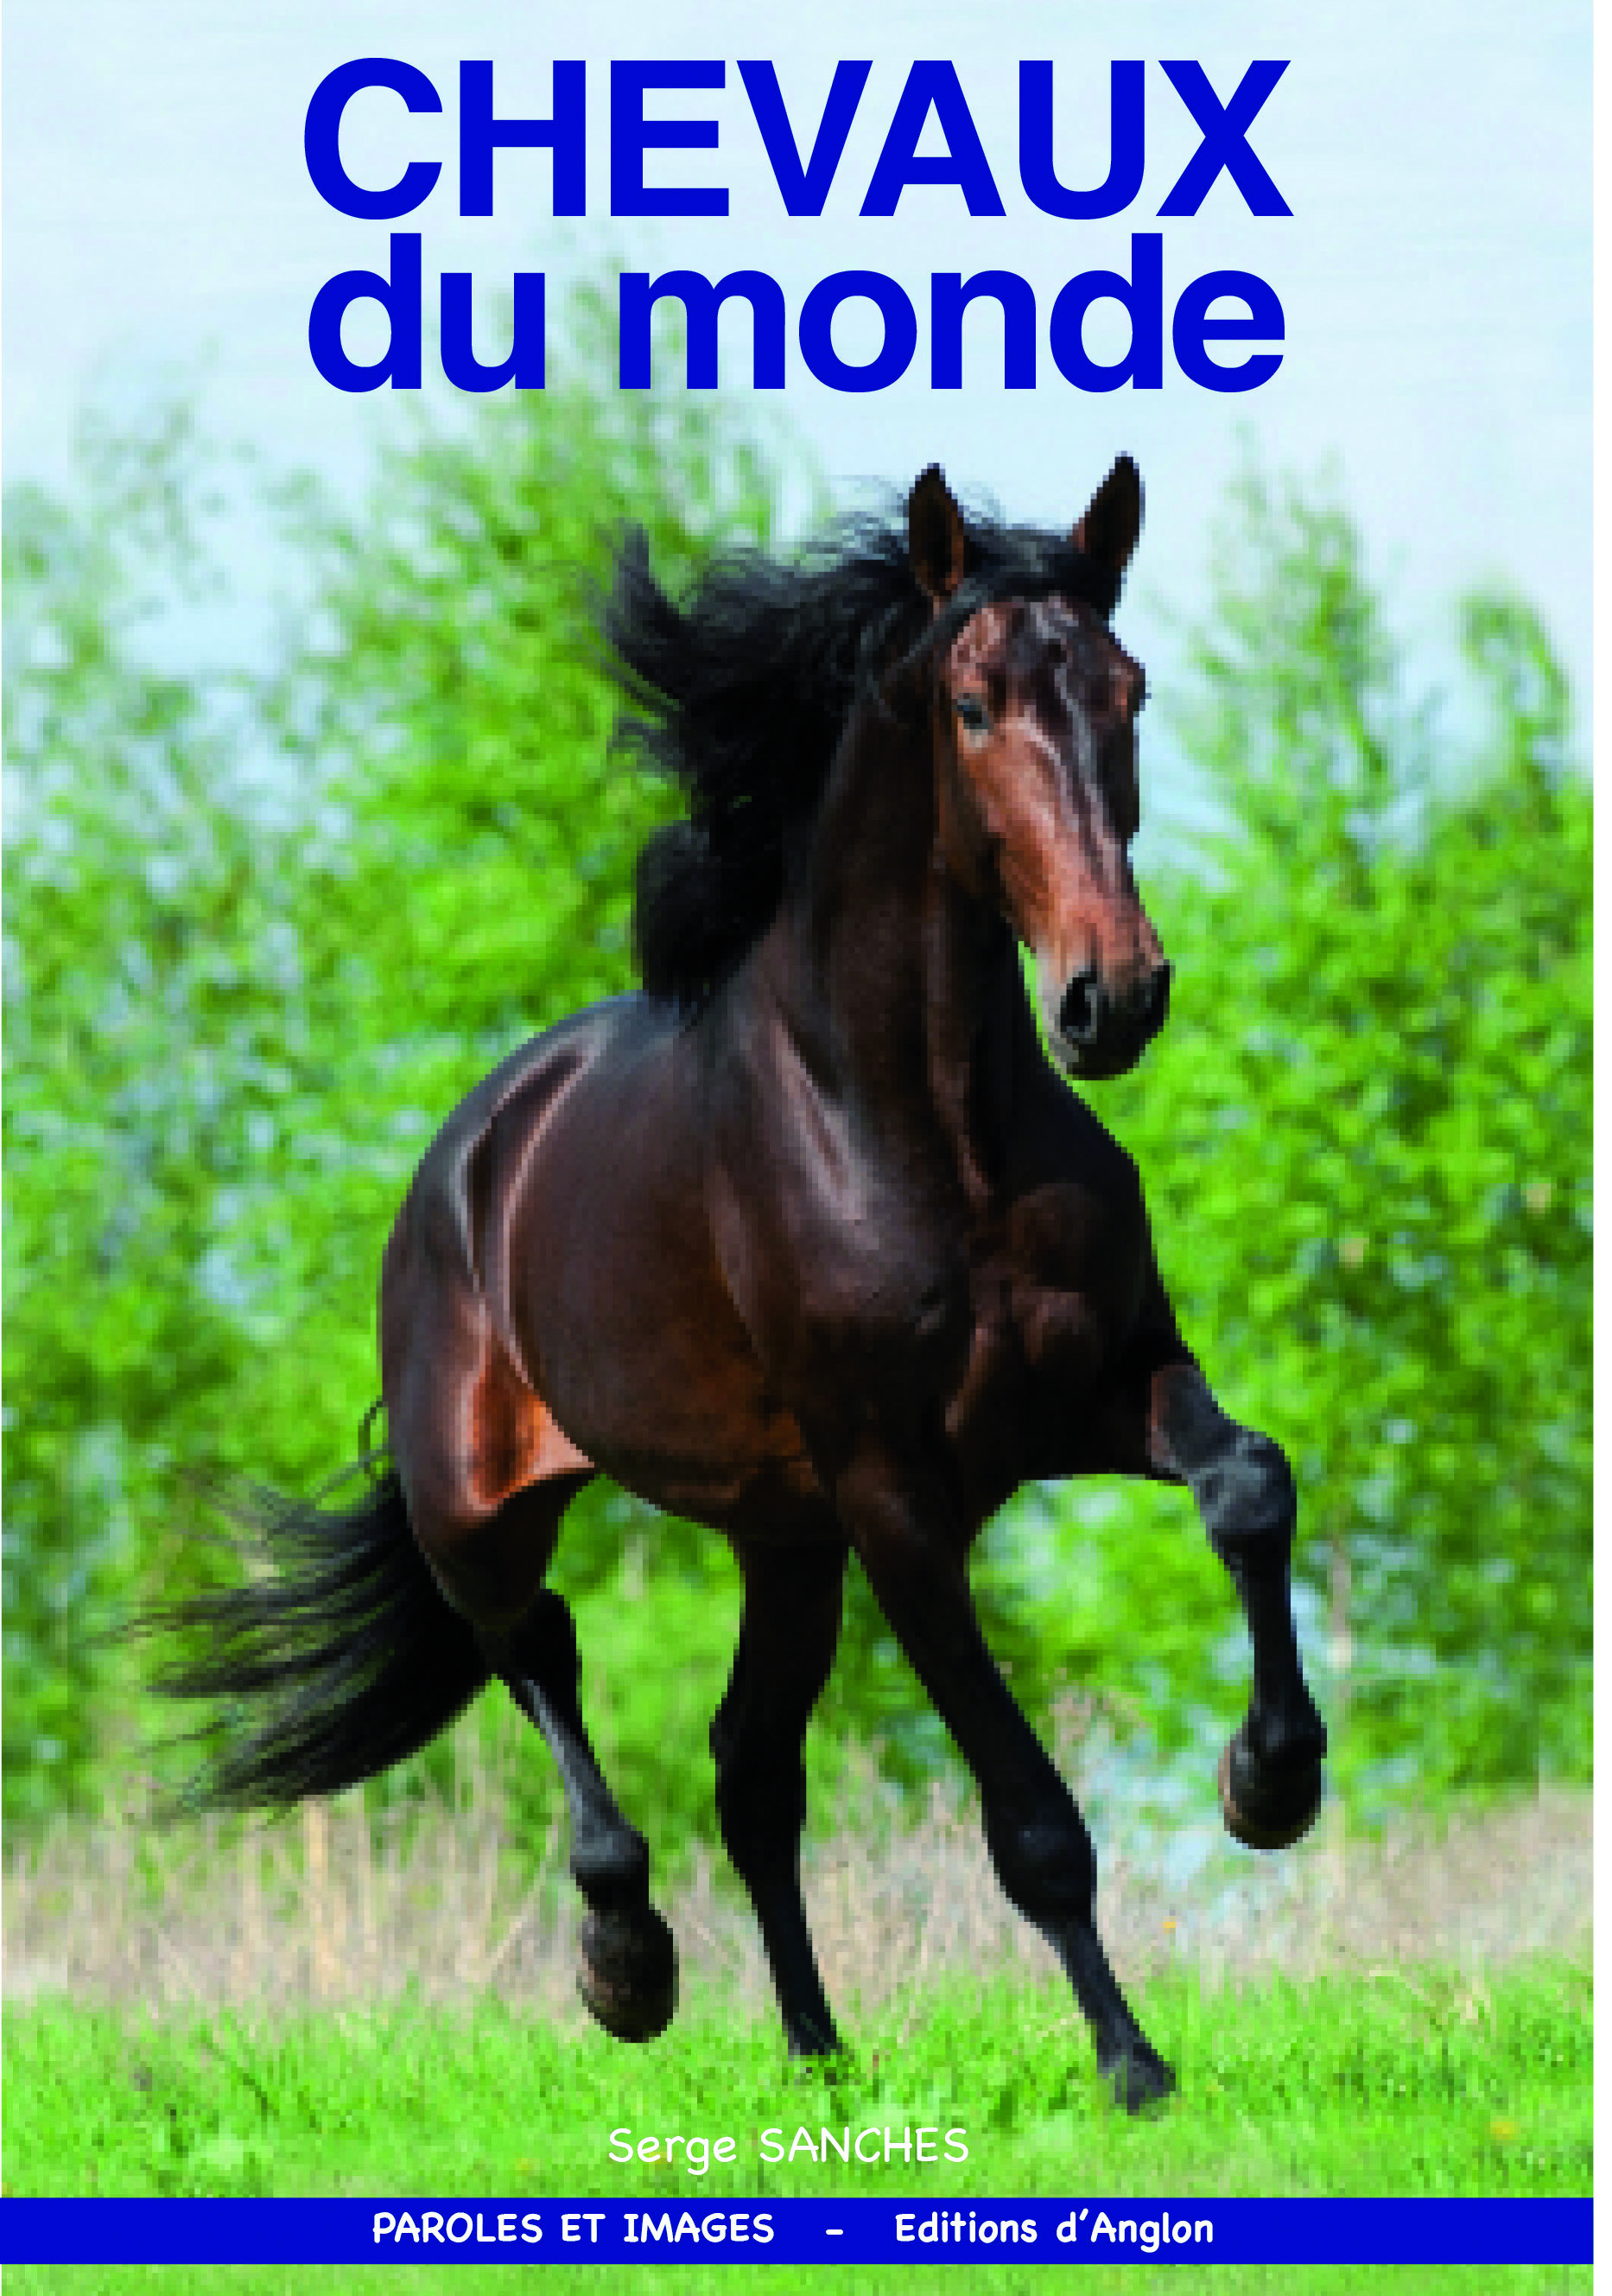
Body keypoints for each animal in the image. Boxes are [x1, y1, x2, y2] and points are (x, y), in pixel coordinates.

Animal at [161, 458, 1326, 2110]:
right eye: (971, 705)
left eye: (1130, 687)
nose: (1115, 999)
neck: (923, 1128)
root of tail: (472, 1151)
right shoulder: (897, 1495)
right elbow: (1031, 1818)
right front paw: (1132, 2063)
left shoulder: (1101, 1389)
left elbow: (1248, 1484)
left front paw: (1266, 1784)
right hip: (488, 1511)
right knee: (542, 1656)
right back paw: (627, 1967)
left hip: (784, 1539)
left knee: (747, 1766)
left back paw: (820, 2054)